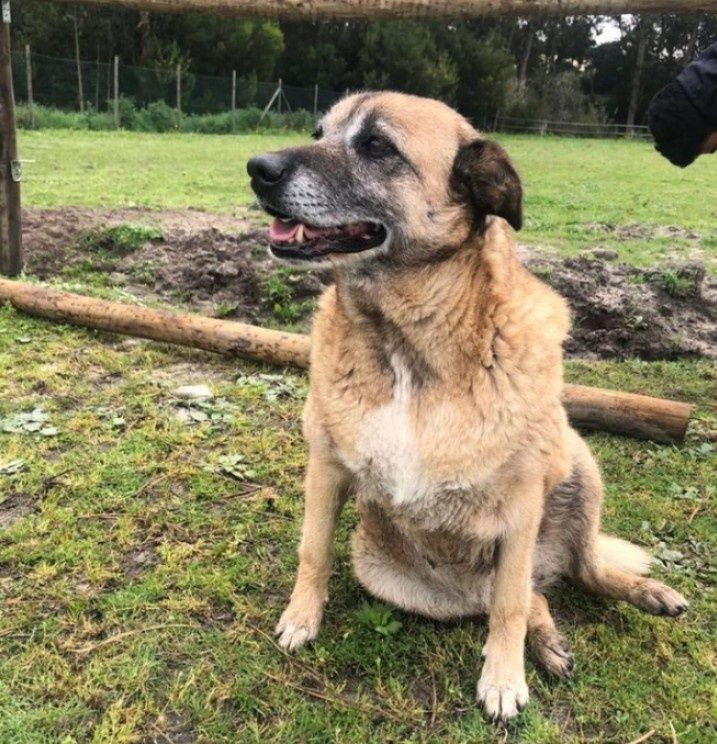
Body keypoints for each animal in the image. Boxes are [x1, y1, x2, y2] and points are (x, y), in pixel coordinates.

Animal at [246, 91, 688, 720]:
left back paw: (645, 596)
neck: (407, 342)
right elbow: (313, 552)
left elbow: (507, 609)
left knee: (571, 575)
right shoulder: (326, 469)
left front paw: (503, 679)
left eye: (376, 145)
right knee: (530, 596)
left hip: (577, 465)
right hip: (398, 577)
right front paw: (301, 617)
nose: (257, 168)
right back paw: (550, 641)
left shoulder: (522, 503)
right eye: (319, 133)